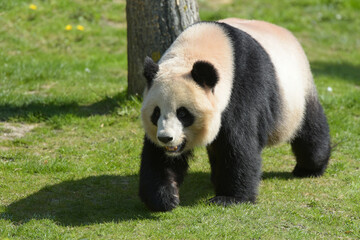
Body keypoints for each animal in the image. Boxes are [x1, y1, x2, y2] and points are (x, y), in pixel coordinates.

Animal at [139, 17, 330, 211]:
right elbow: (157, 156)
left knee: (310, 128)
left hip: (298, 93)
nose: (166, 138)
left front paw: (229, 198)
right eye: (156, 113)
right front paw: (165, 198)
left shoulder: (242, 87)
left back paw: (310, 168)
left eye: (183, 113)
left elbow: (238, 145)